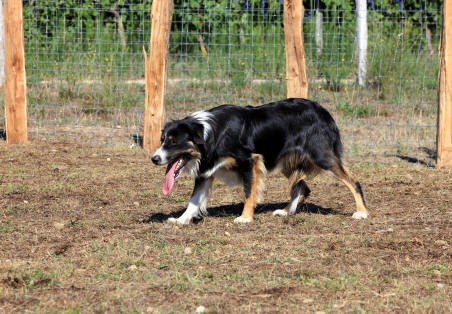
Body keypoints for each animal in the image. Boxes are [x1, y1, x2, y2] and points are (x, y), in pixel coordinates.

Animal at [152, 97, 368, 223]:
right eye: (162, 140)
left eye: (173, 142)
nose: (154, 158)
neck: (209, 134)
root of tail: (323, 110)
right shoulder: (207, 169)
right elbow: (194, 199)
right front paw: (181, 220)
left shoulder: (251, 161)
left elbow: (249, 192)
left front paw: (245, 218)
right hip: (286, 161)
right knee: (303, 186)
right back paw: (286, 211)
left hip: (321, 156)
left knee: (353, 182)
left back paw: (362, 212)